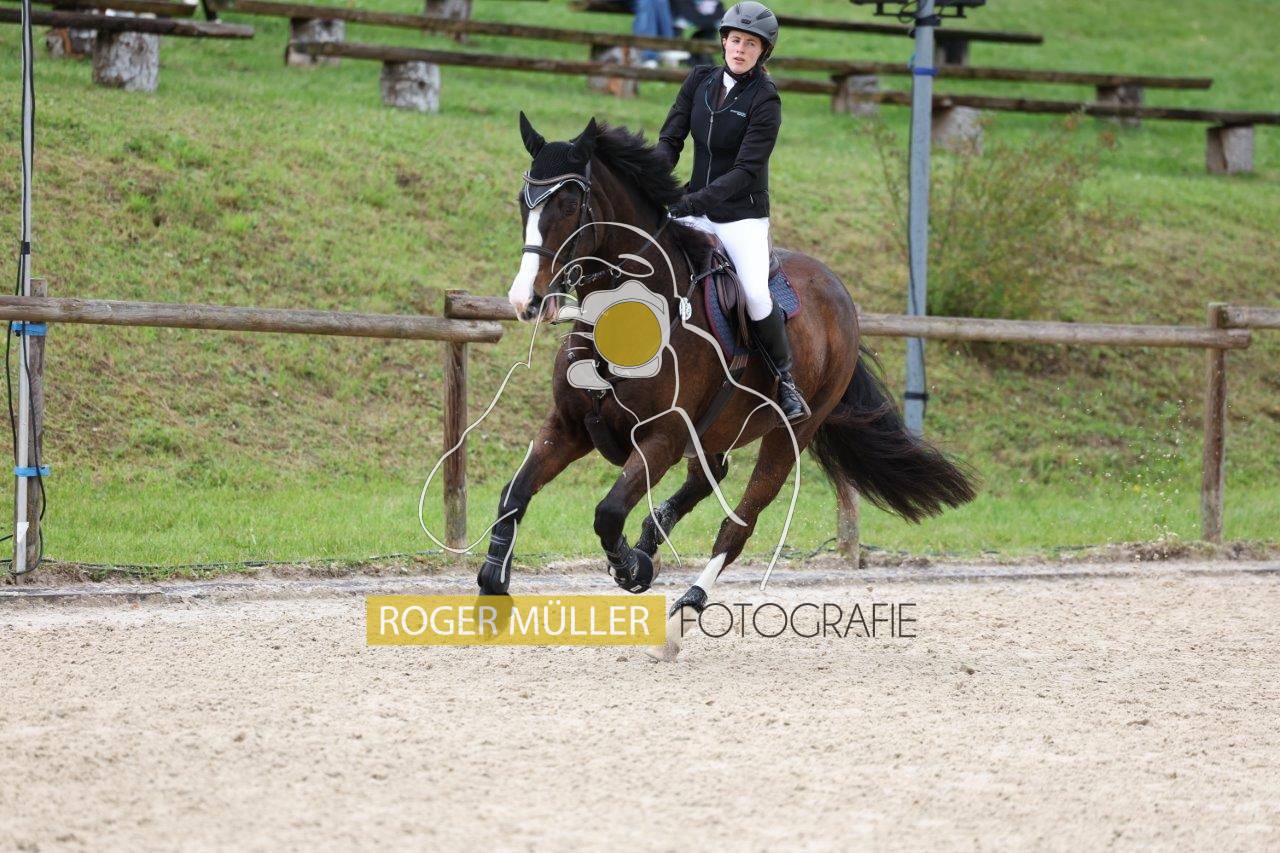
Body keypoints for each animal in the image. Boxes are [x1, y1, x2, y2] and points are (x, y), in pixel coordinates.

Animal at [483, 113, 976, 660]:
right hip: (718, 428)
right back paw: (653, 540)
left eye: (569, 204)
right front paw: (492, 586)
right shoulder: (569, 426)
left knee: (737, 526)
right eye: (523, 200)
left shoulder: (661, 437)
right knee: (708, 476)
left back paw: (680, 615)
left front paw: (631, 569)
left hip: (788, 436)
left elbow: (608, 512)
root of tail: (837, 290)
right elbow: (514, 493)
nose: (525, 299)